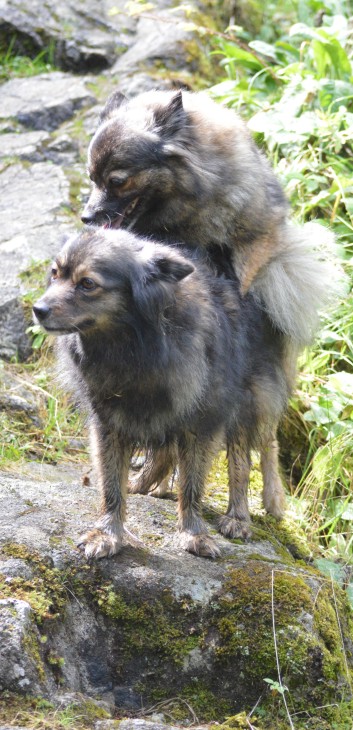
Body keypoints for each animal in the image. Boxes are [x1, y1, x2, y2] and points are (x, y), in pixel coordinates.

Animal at [33, 228, 292, 556]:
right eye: (55, 274)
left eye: (88, 284)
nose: (38, 310)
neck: (135, 346)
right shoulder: (110, 421)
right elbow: (111, 484)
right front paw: (107, 533)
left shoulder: (203, 421)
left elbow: (194, 483)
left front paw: (194, 534)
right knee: (166, 452)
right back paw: (146, 485)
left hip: (248, 401)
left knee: (253, 454)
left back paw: (245, 514)